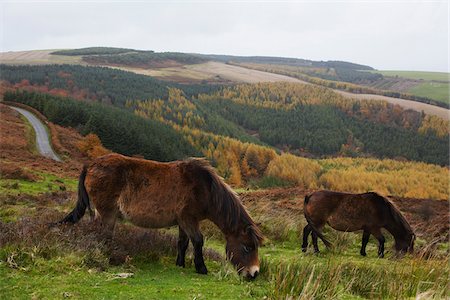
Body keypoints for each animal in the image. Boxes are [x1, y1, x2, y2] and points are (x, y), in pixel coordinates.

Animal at [55, 154, 262, 280]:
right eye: (247, 247)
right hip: (107, 213)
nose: (254, 274)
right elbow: (198, 241)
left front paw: (180, 264)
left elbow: (183, 243)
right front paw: (201, 268)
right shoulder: (189, 219)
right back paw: (108, 258)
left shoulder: (183, 222)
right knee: (103, 235)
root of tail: (90, 165)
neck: (205, 188)